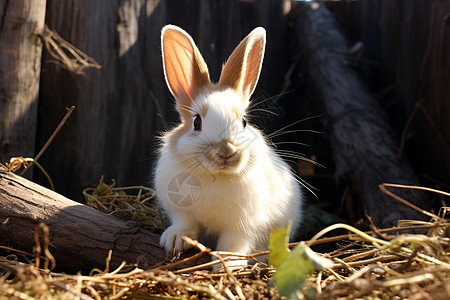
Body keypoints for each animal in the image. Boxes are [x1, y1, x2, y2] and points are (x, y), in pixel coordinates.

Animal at [154, 25, 302, 270]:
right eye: (197, 122)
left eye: (243, 122)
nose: (226, 152)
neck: (215, 177)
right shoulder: (181, 210)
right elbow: (185, 223)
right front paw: (174, 240)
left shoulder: (242, 225)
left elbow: (233, 243)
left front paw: (229, 264)